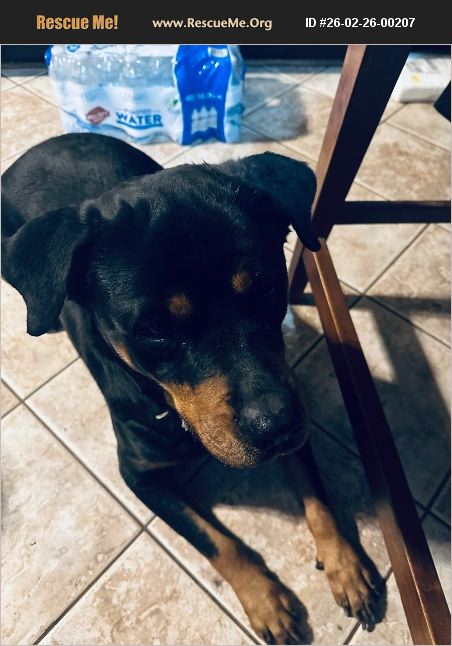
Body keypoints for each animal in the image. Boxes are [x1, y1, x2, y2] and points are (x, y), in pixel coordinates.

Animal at [2, 133, 382, 644]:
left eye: (267, 287)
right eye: (155, 330)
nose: (275, 425)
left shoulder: (291, 403)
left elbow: (318, 496)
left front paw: (345, 565)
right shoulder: (139, 474)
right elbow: (217, 541)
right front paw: (267, 601)